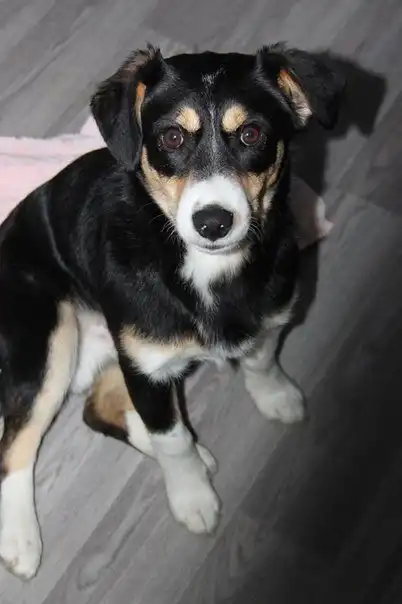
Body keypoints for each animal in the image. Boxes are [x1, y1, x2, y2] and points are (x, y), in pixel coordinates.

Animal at [0, 43, 344, 580]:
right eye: (172, 137)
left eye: (251, 134)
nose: (213, 221)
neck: (205, 268)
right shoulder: (146, 368)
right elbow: (171, 440)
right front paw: (192, 498)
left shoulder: (261, 319)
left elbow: (261, 361)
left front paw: (276, 397)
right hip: (51, 340)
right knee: (18, 439)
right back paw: (19, 539)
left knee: (99, 410)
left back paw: (202, 452)